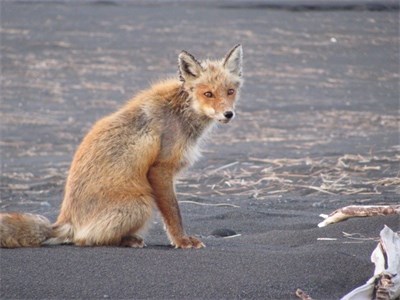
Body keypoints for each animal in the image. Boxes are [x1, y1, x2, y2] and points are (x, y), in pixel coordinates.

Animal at [0, 44, 244, 248]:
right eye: (208, 94)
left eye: (230, 92)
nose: (228, 114)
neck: (181, 109)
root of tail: (65, 221)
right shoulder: (160, 169)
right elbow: (174, 213)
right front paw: (181, 241)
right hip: (141, 203)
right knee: (83, 240)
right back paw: (127, 240)